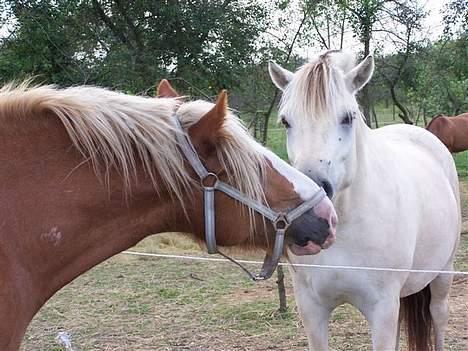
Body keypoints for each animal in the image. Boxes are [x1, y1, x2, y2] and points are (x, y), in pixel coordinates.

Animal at [268, 50, 458, 351]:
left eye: (348, 117)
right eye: (286, 122)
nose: (312, 207)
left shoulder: (382, 311)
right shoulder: (312, 310)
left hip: (443, 274)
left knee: (438, 316)